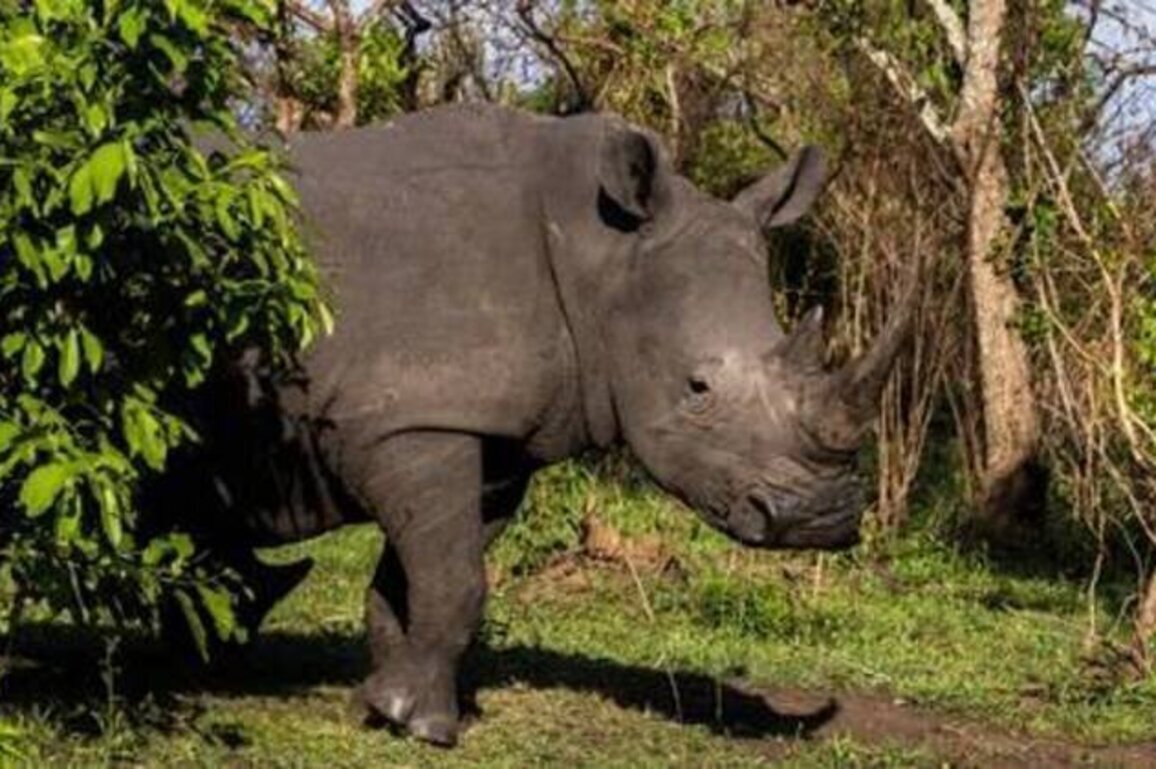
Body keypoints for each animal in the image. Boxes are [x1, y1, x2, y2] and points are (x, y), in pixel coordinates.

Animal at [167, 103, 915, 746]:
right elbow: (454, 576)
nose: (819, 518)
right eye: (696, 388)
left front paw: (386, 702)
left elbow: (415, 577)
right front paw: (424, 725)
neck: (602, 258)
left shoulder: (494, 436)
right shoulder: (411, 417)